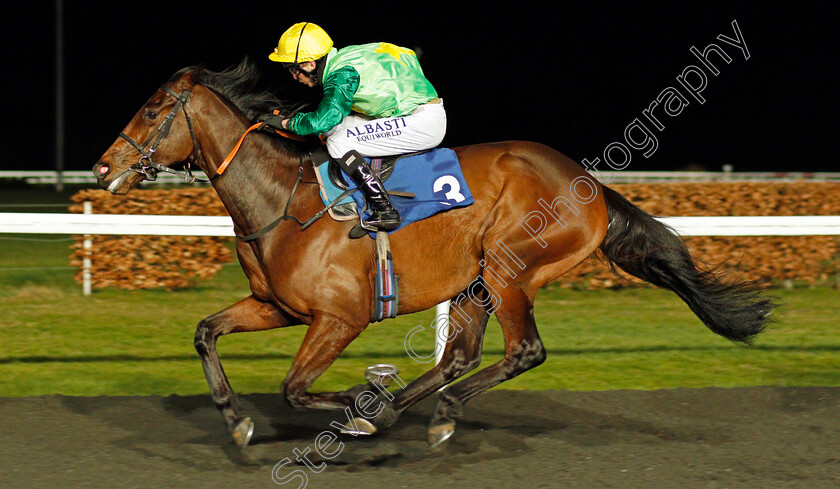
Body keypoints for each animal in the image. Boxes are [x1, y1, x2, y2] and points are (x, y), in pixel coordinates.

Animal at [93, 60, 776, 446]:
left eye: (152, 110)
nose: (102, 168)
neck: (281, 200)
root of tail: (588, 183)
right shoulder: (278, 308)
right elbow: (206, 332)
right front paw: (236, 420)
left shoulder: (339, 319)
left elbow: (294, 387)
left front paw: (361, 404)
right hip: (473, 281)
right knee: (461, 355)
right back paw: (419, 409)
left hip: (510, 269)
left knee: (522, 351)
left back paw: (415, 410)